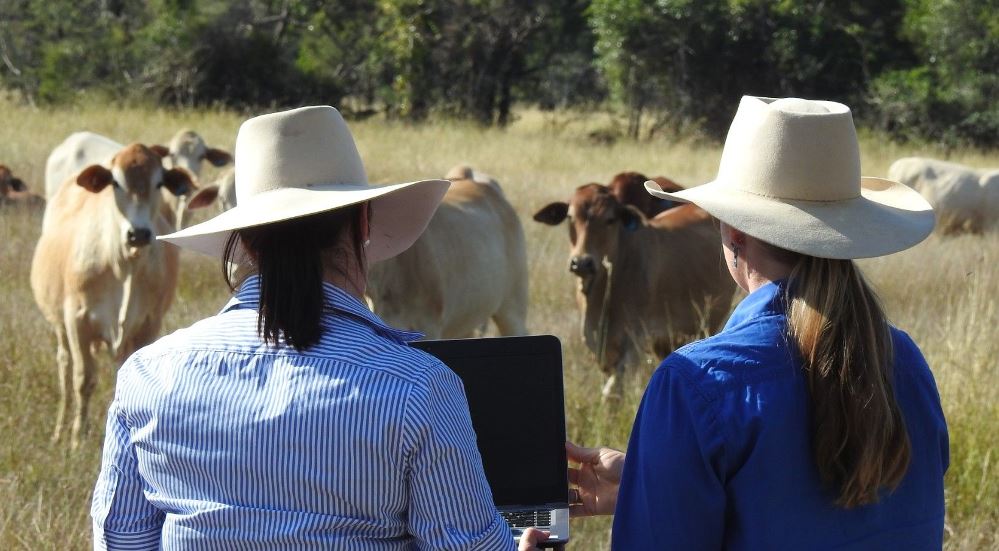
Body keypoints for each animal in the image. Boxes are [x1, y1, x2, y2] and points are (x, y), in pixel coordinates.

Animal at [31, 142, 191, 448]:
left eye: (159, 183)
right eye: (116, 182)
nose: (138, 233)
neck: (123, 263)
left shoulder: (149, 324)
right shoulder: (76, 320)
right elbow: (83, 380)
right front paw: (77, 439)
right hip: (59, 325)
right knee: (65, 367)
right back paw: (60, 430)